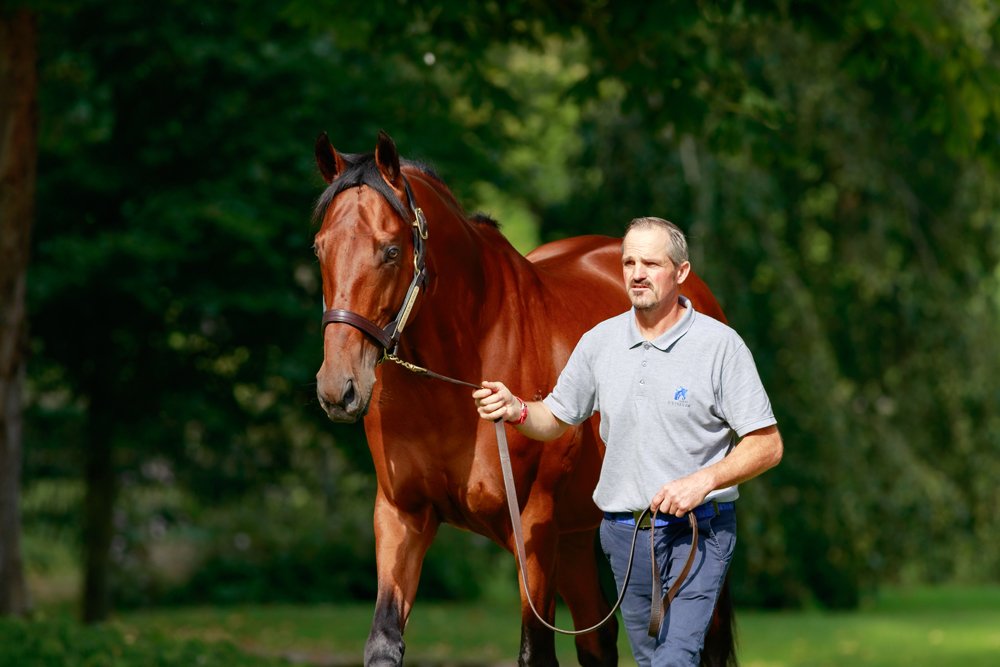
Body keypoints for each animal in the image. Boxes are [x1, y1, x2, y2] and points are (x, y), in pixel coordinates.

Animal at [312, 130, 736, 667]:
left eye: (390, 250)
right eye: (320, 248)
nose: (338, 388)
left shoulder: (532, 527)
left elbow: (535, 651)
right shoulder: (400, 515)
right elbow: (384, 642)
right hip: (577, 536)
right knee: (598, 640)